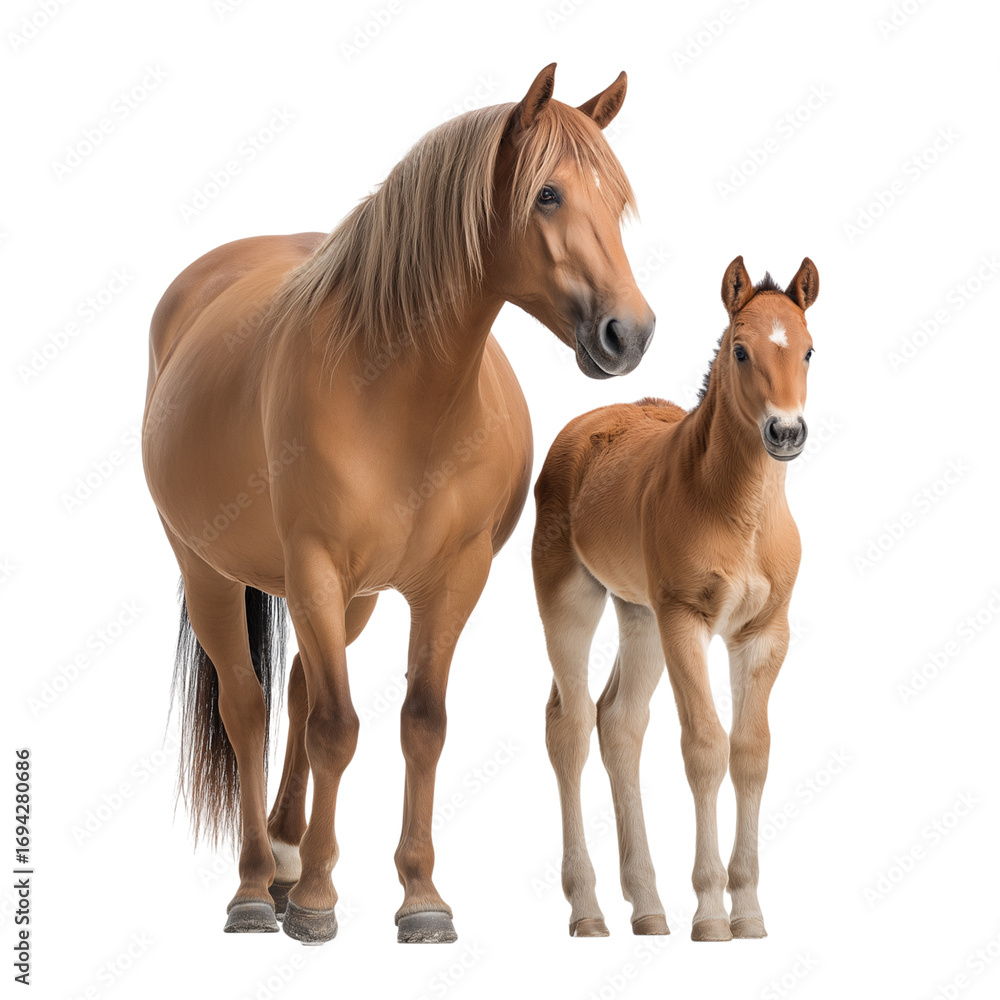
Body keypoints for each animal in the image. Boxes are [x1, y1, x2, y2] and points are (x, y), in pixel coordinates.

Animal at [141, 63, 655, 945]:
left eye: (617, 199)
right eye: (548, 195)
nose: (631, 333)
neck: (397, 397)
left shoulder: (452, 581)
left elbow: (420, 723)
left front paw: (419, 897)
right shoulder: (314, 568)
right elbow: (337, 727)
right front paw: (318, 900)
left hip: (353, 599)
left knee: (301, 691)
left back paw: (285, 857)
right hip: (212, 571)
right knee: (250, 706)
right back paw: (257, 885)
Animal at [532, 255, 817, 940]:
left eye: (809, 351)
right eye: (740, 350)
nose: (786, 431)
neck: (741, 513)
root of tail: (583, 425)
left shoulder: (764, 633)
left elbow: (751, 752)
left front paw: (749, 912)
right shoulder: (686, 620)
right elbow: (706, 747)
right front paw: (712, 913)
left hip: (639, 615)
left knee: (619, 722)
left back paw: (648, 906)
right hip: (571, 598)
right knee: (570, 726)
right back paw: (588, 909)